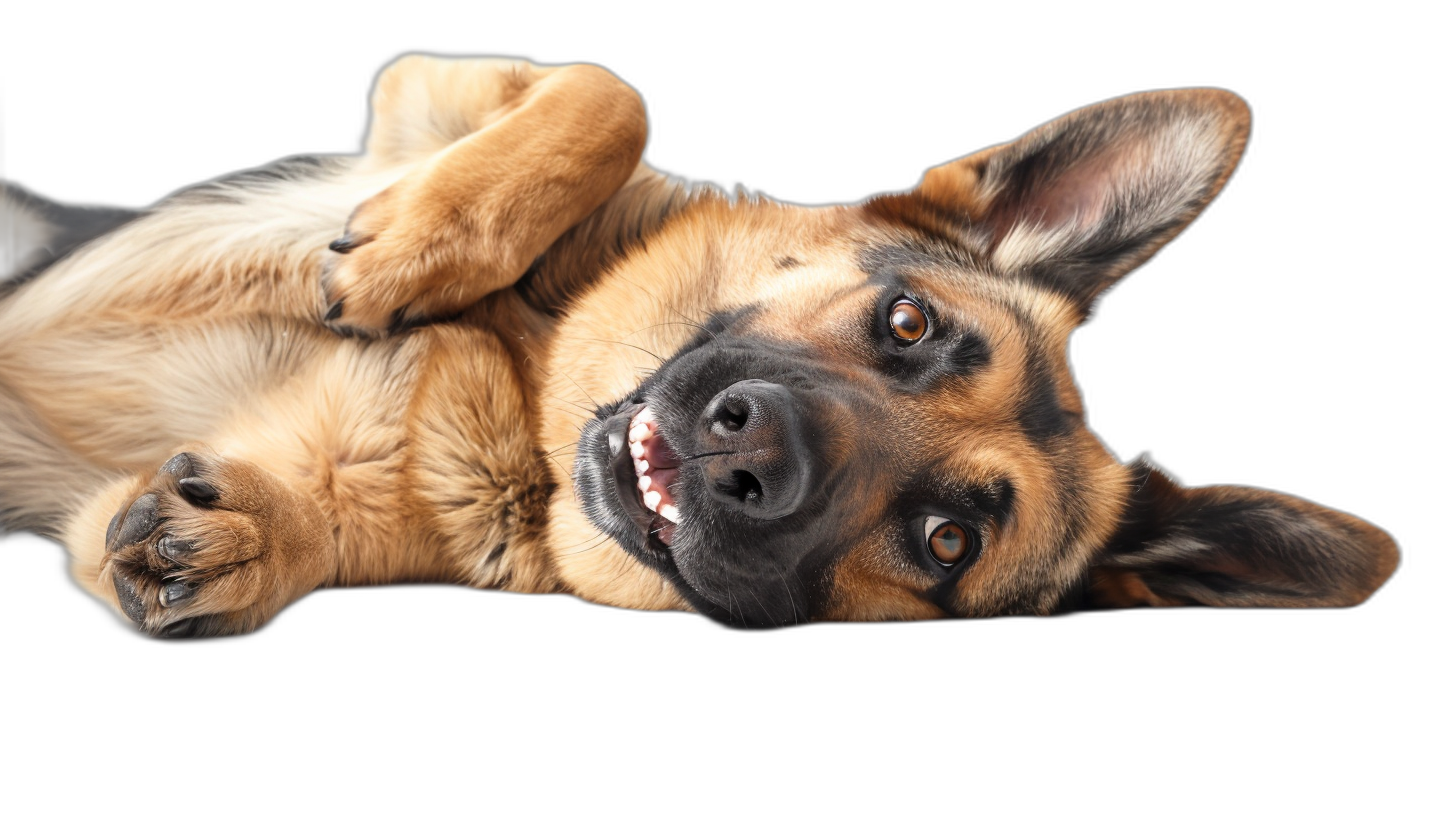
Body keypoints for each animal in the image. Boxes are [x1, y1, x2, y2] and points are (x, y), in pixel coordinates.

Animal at [5, 52, 1403, 638]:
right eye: (908, 324)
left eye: (947, 542)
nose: (753, 462)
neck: (525, 386)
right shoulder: (425, 96)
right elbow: (607, 96)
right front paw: (413, 250)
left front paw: (253, 536)